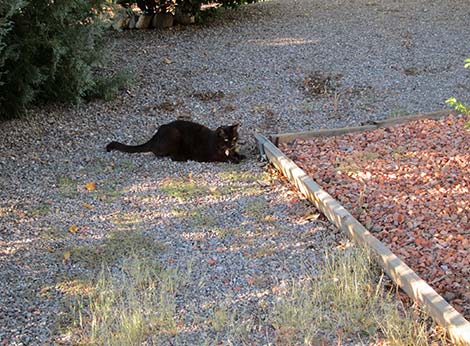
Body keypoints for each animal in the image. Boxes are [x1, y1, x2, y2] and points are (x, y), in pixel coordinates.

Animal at [106, 119, 246, 164]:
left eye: (234, 138)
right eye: (226, 139)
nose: (232, 144)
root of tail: (155, 136)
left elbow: (235, 154)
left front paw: (240, 155)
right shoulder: (213, 156)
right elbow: (225, 158)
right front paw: (235, 159)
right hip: (175, 134)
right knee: (168, 156)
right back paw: (183, 158)